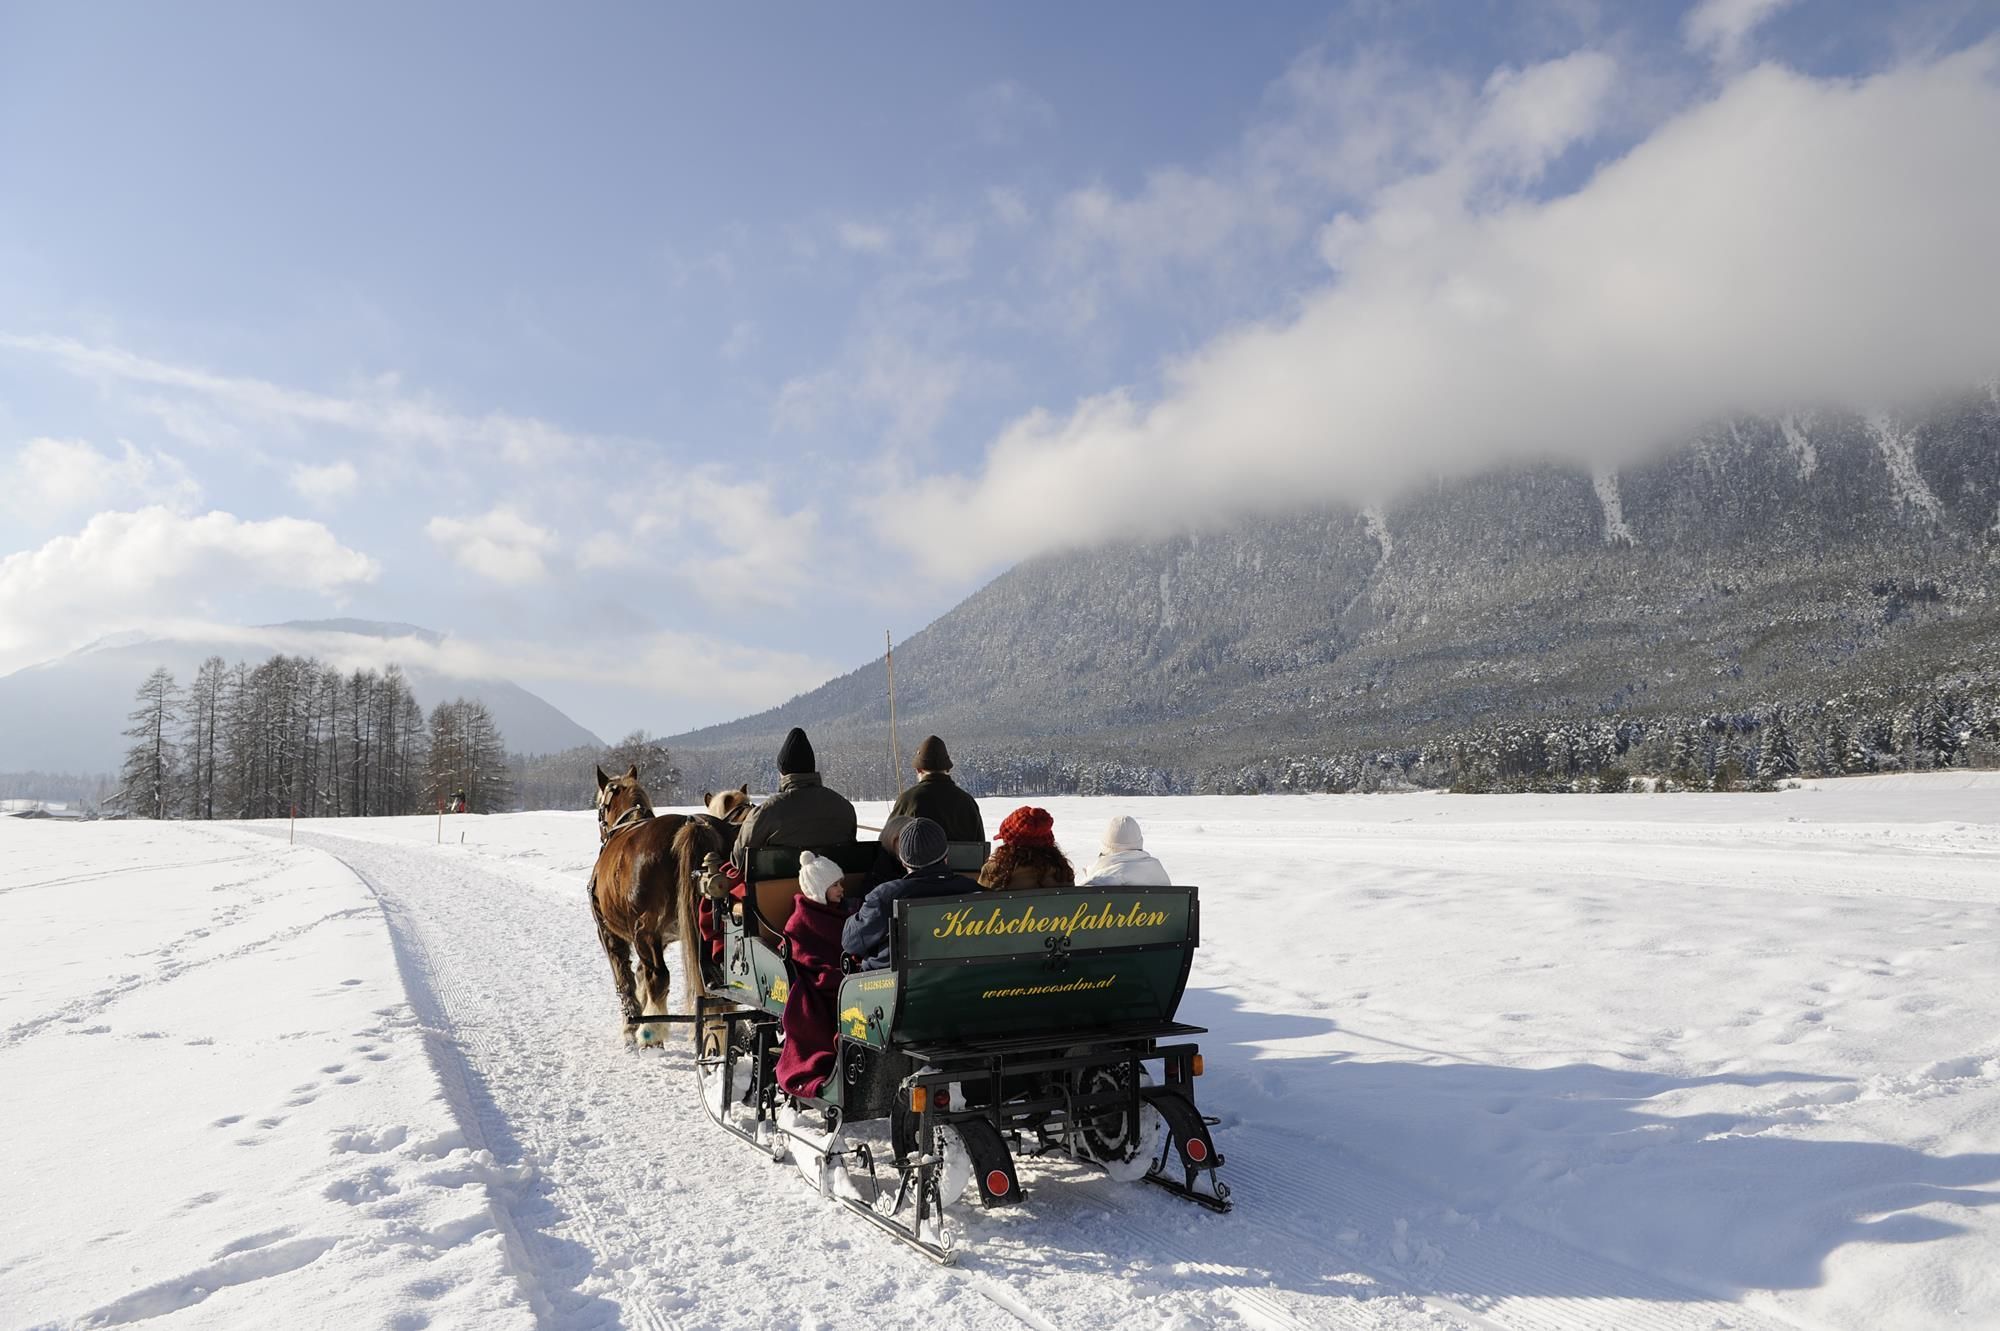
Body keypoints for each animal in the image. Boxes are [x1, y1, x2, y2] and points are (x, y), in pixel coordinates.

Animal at [586, 767, 749, 1046]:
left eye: (601, 807)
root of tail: (693, 824)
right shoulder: (661, 938)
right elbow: (640, 974)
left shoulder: (610, 933)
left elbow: (626, 977)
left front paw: (631, 1024)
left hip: (644, 930)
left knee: (659, 977)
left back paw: (650, 1032)